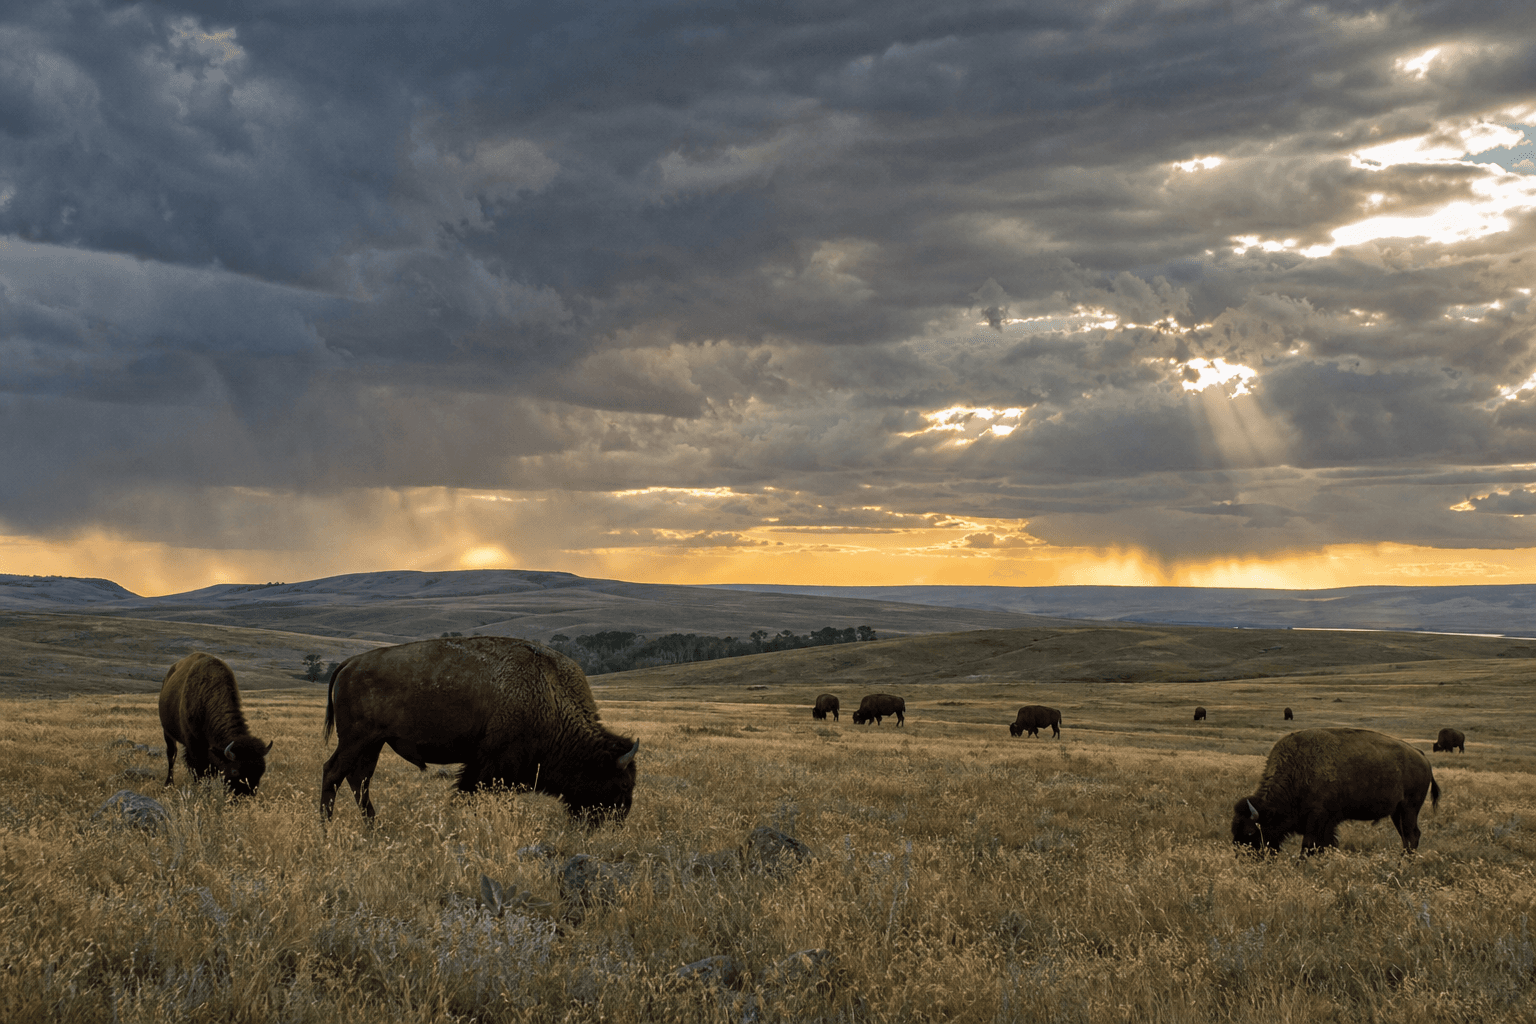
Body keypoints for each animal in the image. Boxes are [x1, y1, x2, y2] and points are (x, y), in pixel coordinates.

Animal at [159, 652, 272, 796]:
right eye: (234, 770)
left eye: (261, 771)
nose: (244, 796)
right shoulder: (195, 747)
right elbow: (200, 772)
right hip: (167, 733)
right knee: (171, 755)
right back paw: (168, 785)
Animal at [321, 637, 638, 824]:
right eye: (623, 786)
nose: (616, 821)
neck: (548, 692)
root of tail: (350, 663)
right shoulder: (493, 765)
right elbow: (472, 794)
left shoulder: (481, 765)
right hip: (356, 740)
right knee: (334, 772)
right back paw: (326, 827)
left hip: (373, 743)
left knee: (359, 778)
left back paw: (373, 826)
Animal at [1232, 727, 1439, 855]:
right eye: (1234, 829)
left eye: (1250, 832)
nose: (1242, 858)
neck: (1298, 769)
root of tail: (1422, 756)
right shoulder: (1327, 824)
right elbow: (1325, 845)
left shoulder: (1318, 818)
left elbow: (1309, 845)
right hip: (1397, 813)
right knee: (1408, 837)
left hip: (1409, 809)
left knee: (1411, 837)